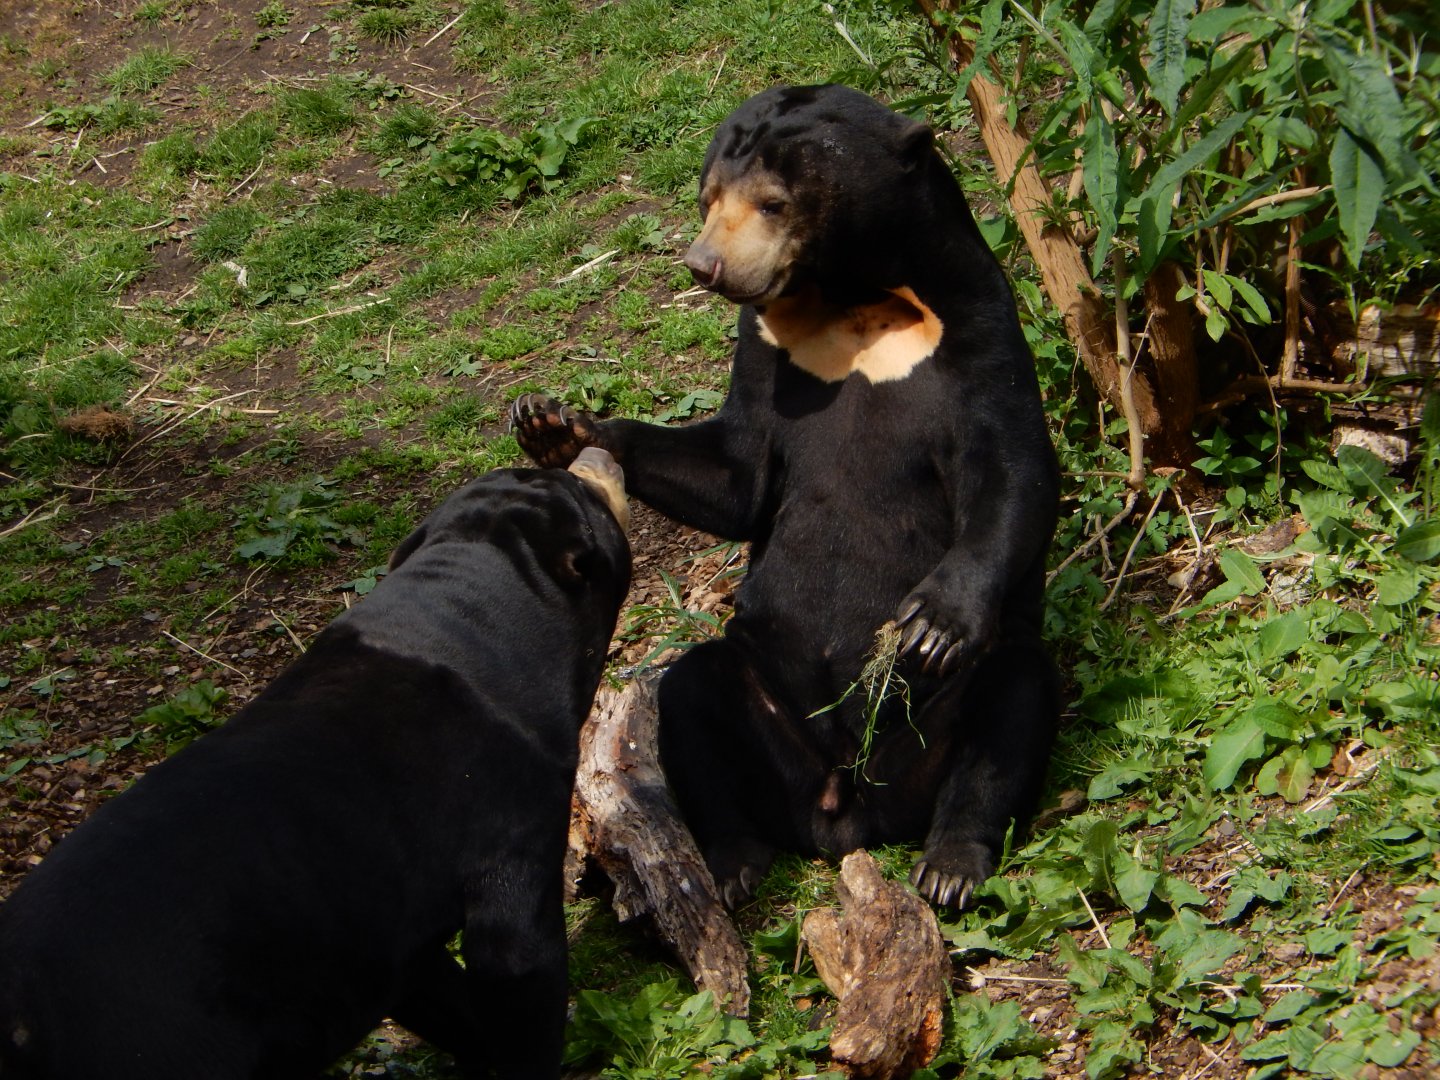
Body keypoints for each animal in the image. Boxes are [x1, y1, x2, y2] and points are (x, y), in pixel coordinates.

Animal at [0, 450, 631, 1080]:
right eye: (579, 487)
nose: (593, 453)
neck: (465, 626)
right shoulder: (509, 834)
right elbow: (521, 979)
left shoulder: (385, 937)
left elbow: (440, 998)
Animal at [511, 83, 1060, 910]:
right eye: (708, 198)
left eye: (773, 203)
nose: (703, 265)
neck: (851, 296)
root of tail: (844, 812)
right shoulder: (768, 343)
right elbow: (734, 476)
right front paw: (552, 425)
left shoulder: (977, 327)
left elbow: (1015, 471)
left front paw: (932, 623)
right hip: (762, 695)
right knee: (693, 693)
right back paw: (733, 861)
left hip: (933, 724)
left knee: (1011, 692)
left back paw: (950, 863)